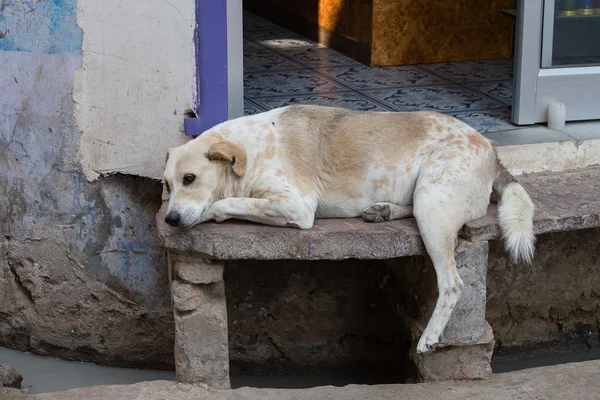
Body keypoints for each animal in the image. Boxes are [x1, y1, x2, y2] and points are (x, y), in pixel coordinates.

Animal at [163, 104, 536, 354]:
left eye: (189, 178)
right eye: (166, 184)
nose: (170, 220)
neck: (249, 152)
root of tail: (491, 149)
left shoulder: (296, 205)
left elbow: (221, 204)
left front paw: (210, 212)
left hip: (435, 207)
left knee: (452, 284)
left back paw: (430, 337)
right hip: (425, 200)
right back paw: (383, 211)